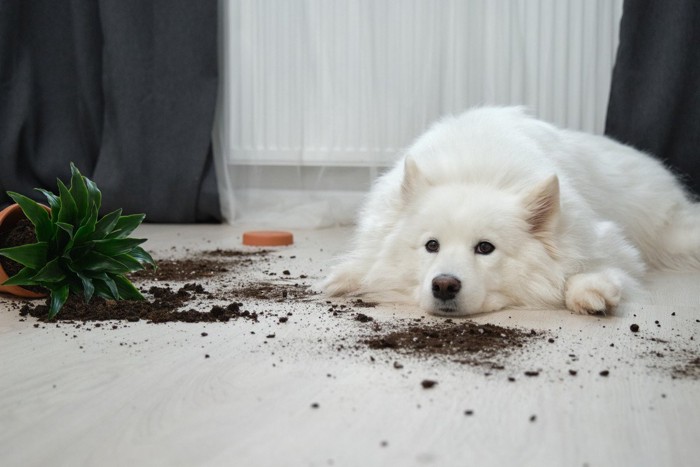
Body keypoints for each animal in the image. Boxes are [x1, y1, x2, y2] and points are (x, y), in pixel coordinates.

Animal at [322, 108, 700, 316]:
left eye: (485, 248)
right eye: (431, 246)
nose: (444, 286)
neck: (474, 171)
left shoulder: (610, 243)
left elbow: (592, 268)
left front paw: (589, 292)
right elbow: (365, 264)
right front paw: (344, 277)